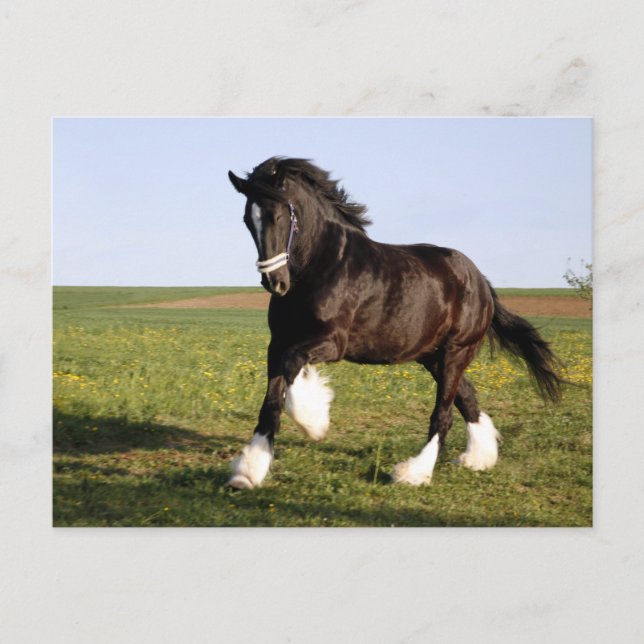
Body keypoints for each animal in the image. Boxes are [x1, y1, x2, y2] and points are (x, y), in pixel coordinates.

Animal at [226, 157, 562, 489]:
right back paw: (478, 458)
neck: (322, 264)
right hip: (433, 357)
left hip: (456, 351)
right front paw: (247, 472)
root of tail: (481, 282)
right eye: (247, 220)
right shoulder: (278, 343)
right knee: (467, 398)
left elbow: (293, 367)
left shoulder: (332, 342)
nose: (275, 282)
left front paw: (315, 423)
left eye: (278, 216)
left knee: (444, 414)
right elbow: (271, 403)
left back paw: (414, 473)